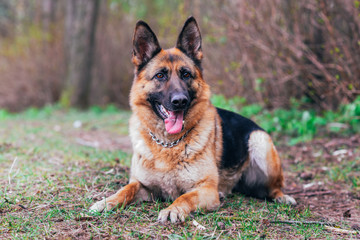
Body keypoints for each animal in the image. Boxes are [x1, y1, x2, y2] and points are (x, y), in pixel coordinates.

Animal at [90, 16, 296, 223]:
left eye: (186, 74)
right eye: (160, 75)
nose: (180, 101)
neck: (168, 144)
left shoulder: (206, 189)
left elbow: (185, 196)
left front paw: (173, 209)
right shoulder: (143, 185)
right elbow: (126, 189)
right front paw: (107, 201)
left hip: (260, 142)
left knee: (273, 188)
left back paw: (282, 197)